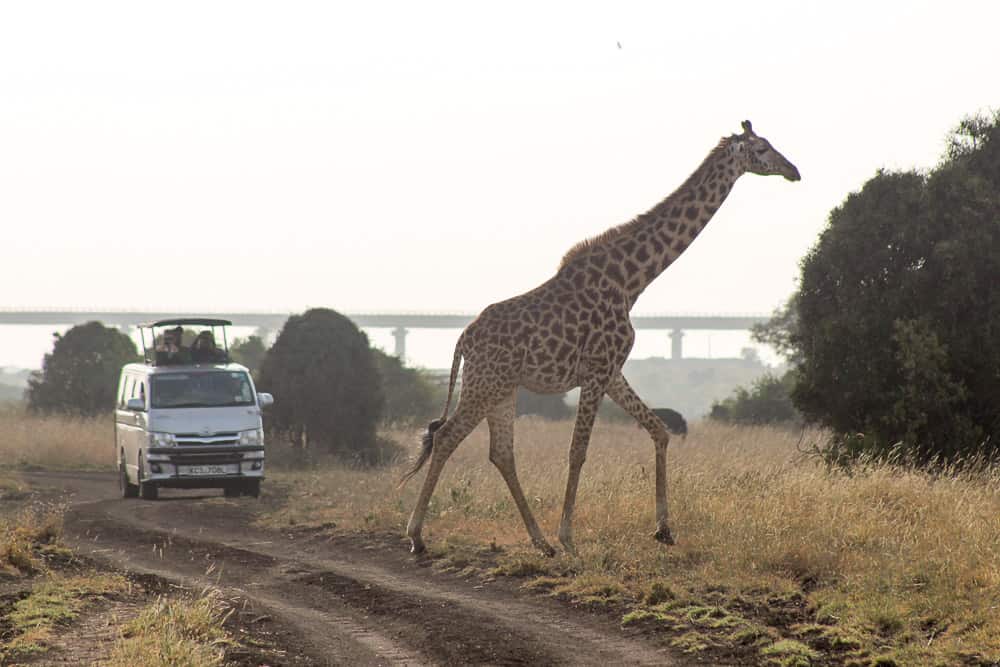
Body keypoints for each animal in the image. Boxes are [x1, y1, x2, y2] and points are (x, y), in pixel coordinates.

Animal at [401, 121, 800, 555]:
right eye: (762, 149)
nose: (794, 171)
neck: (631, 282)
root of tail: (463, 339)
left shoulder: (612, 371)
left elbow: (659, 430)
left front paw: (663, 529)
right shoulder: (596, 371)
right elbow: (578, 451)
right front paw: (569, 537)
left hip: (503, 388)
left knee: (500, 453)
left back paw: (539, 541)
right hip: (485, 383)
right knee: (447, 436)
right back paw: (417, 536)